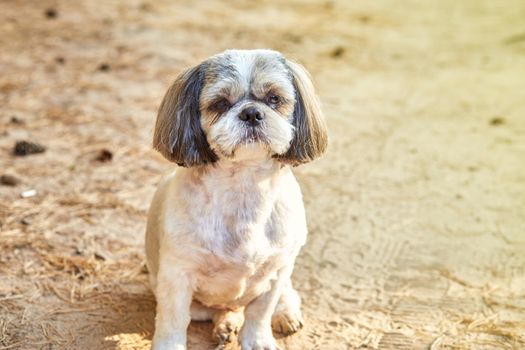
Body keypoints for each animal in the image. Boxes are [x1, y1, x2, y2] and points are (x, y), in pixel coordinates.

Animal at [146, 50, 328, 350]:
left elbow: (260, 312)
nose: (251, 112)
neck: (244, 187)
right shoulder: (177, 276)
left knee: (284, 295)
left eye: (274, 98)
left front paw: (258, 340)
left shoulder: (276, 271)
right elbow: (173, 321)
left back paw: (285, 313)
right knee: (219, 310)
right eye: (220, 103)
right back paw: (225, 324)